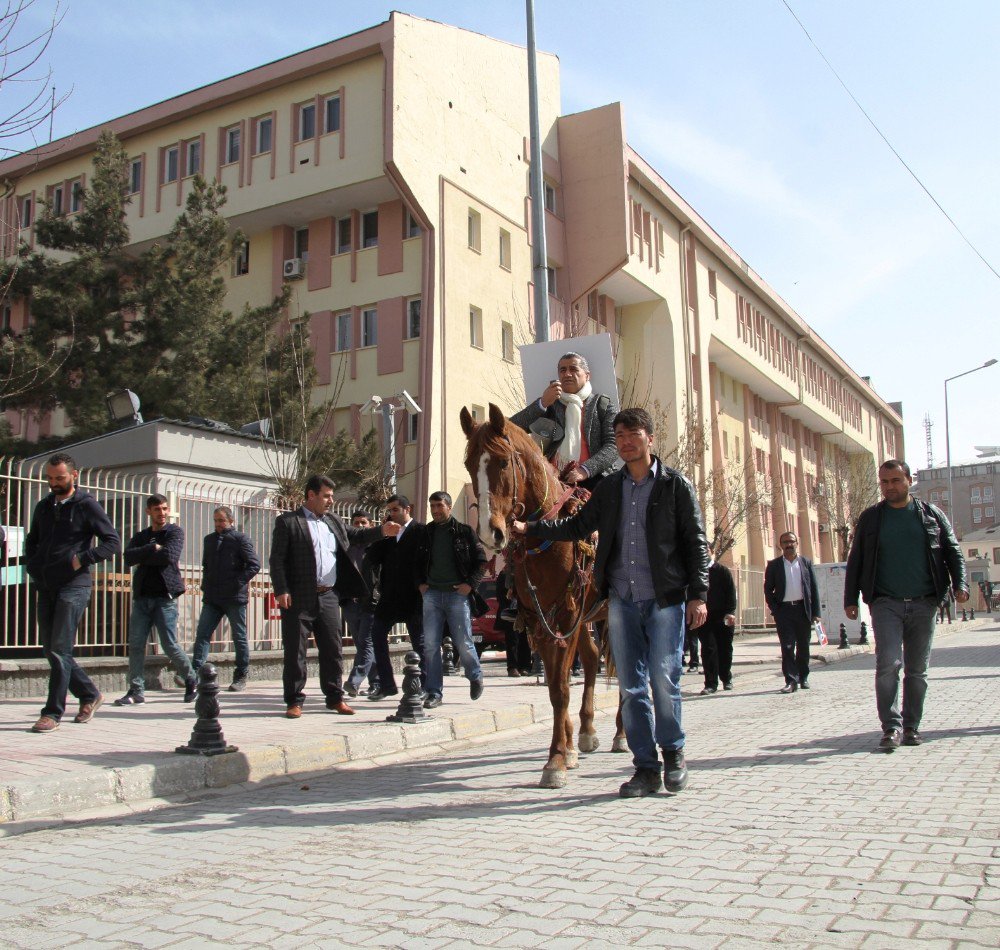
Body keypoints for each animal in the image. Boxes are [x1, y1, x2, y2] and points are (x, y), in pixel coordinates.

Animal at [460, 402, 600, 788]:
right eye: (468, 465)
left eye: (501, 462)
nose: (490, 533)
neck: (549, 533)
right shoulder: (540, 619)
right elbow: (554, 685)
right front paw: (565, 751)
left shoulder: (566, 615)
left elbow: (561, 687)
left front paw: (555, 760)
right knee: (593, 659)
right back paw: (587, 732)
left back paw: (621, 735)